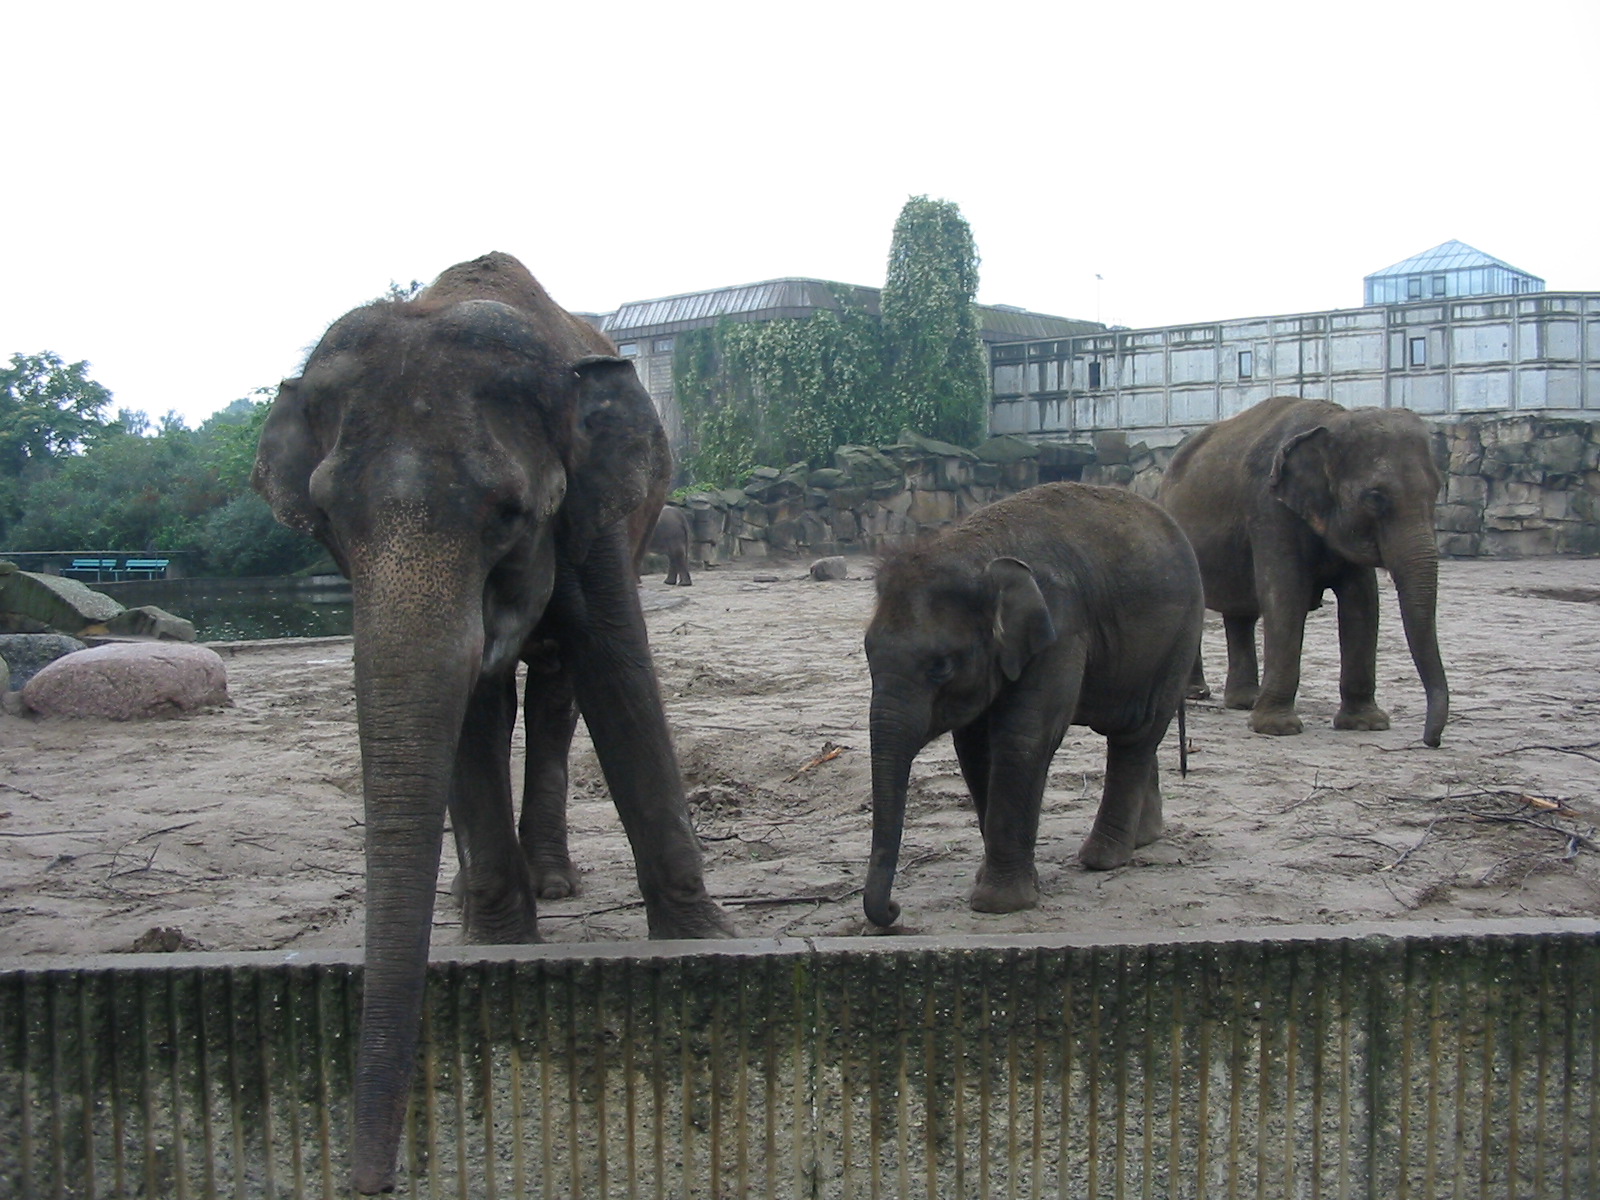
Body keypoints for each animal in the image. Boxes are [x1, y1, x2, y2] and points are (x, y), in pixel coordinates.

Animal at [252, 252, 732, 1194]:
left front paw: (706, 945)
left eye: (510, 513)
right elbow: (469, 706)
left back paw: (555, 880)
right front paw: (500, 945)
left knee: (554, 694)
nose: (370, 1180)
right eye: (328, 521)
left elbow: (615, 667)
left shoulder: (593, 509)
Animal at [863, 482, 1203, 929]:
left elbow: (1021, 738)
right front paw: (1003, 881)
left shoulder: (1061, 628)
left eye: (940, 666)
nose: (893, 909)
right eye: (866, 652)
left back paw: (1102, 859)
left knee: (1137, 735)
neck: (974, 550)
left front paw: (999, 903)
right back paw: (1142, 839)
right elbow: (974, 748)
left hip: (1180, 637)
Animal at [1156, 395, 1449, 747]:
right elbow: (1285, 595)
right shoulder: (1268, 506)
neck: (1332, 421)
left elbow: (1363, 602)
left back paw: (1244, 702)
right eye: (1375, 498)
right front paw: (1277, 728)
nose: (1431, 741)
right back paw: (1196, 694)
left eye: (1437, 490)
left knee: (1241, 614)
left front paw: (1366, 724)